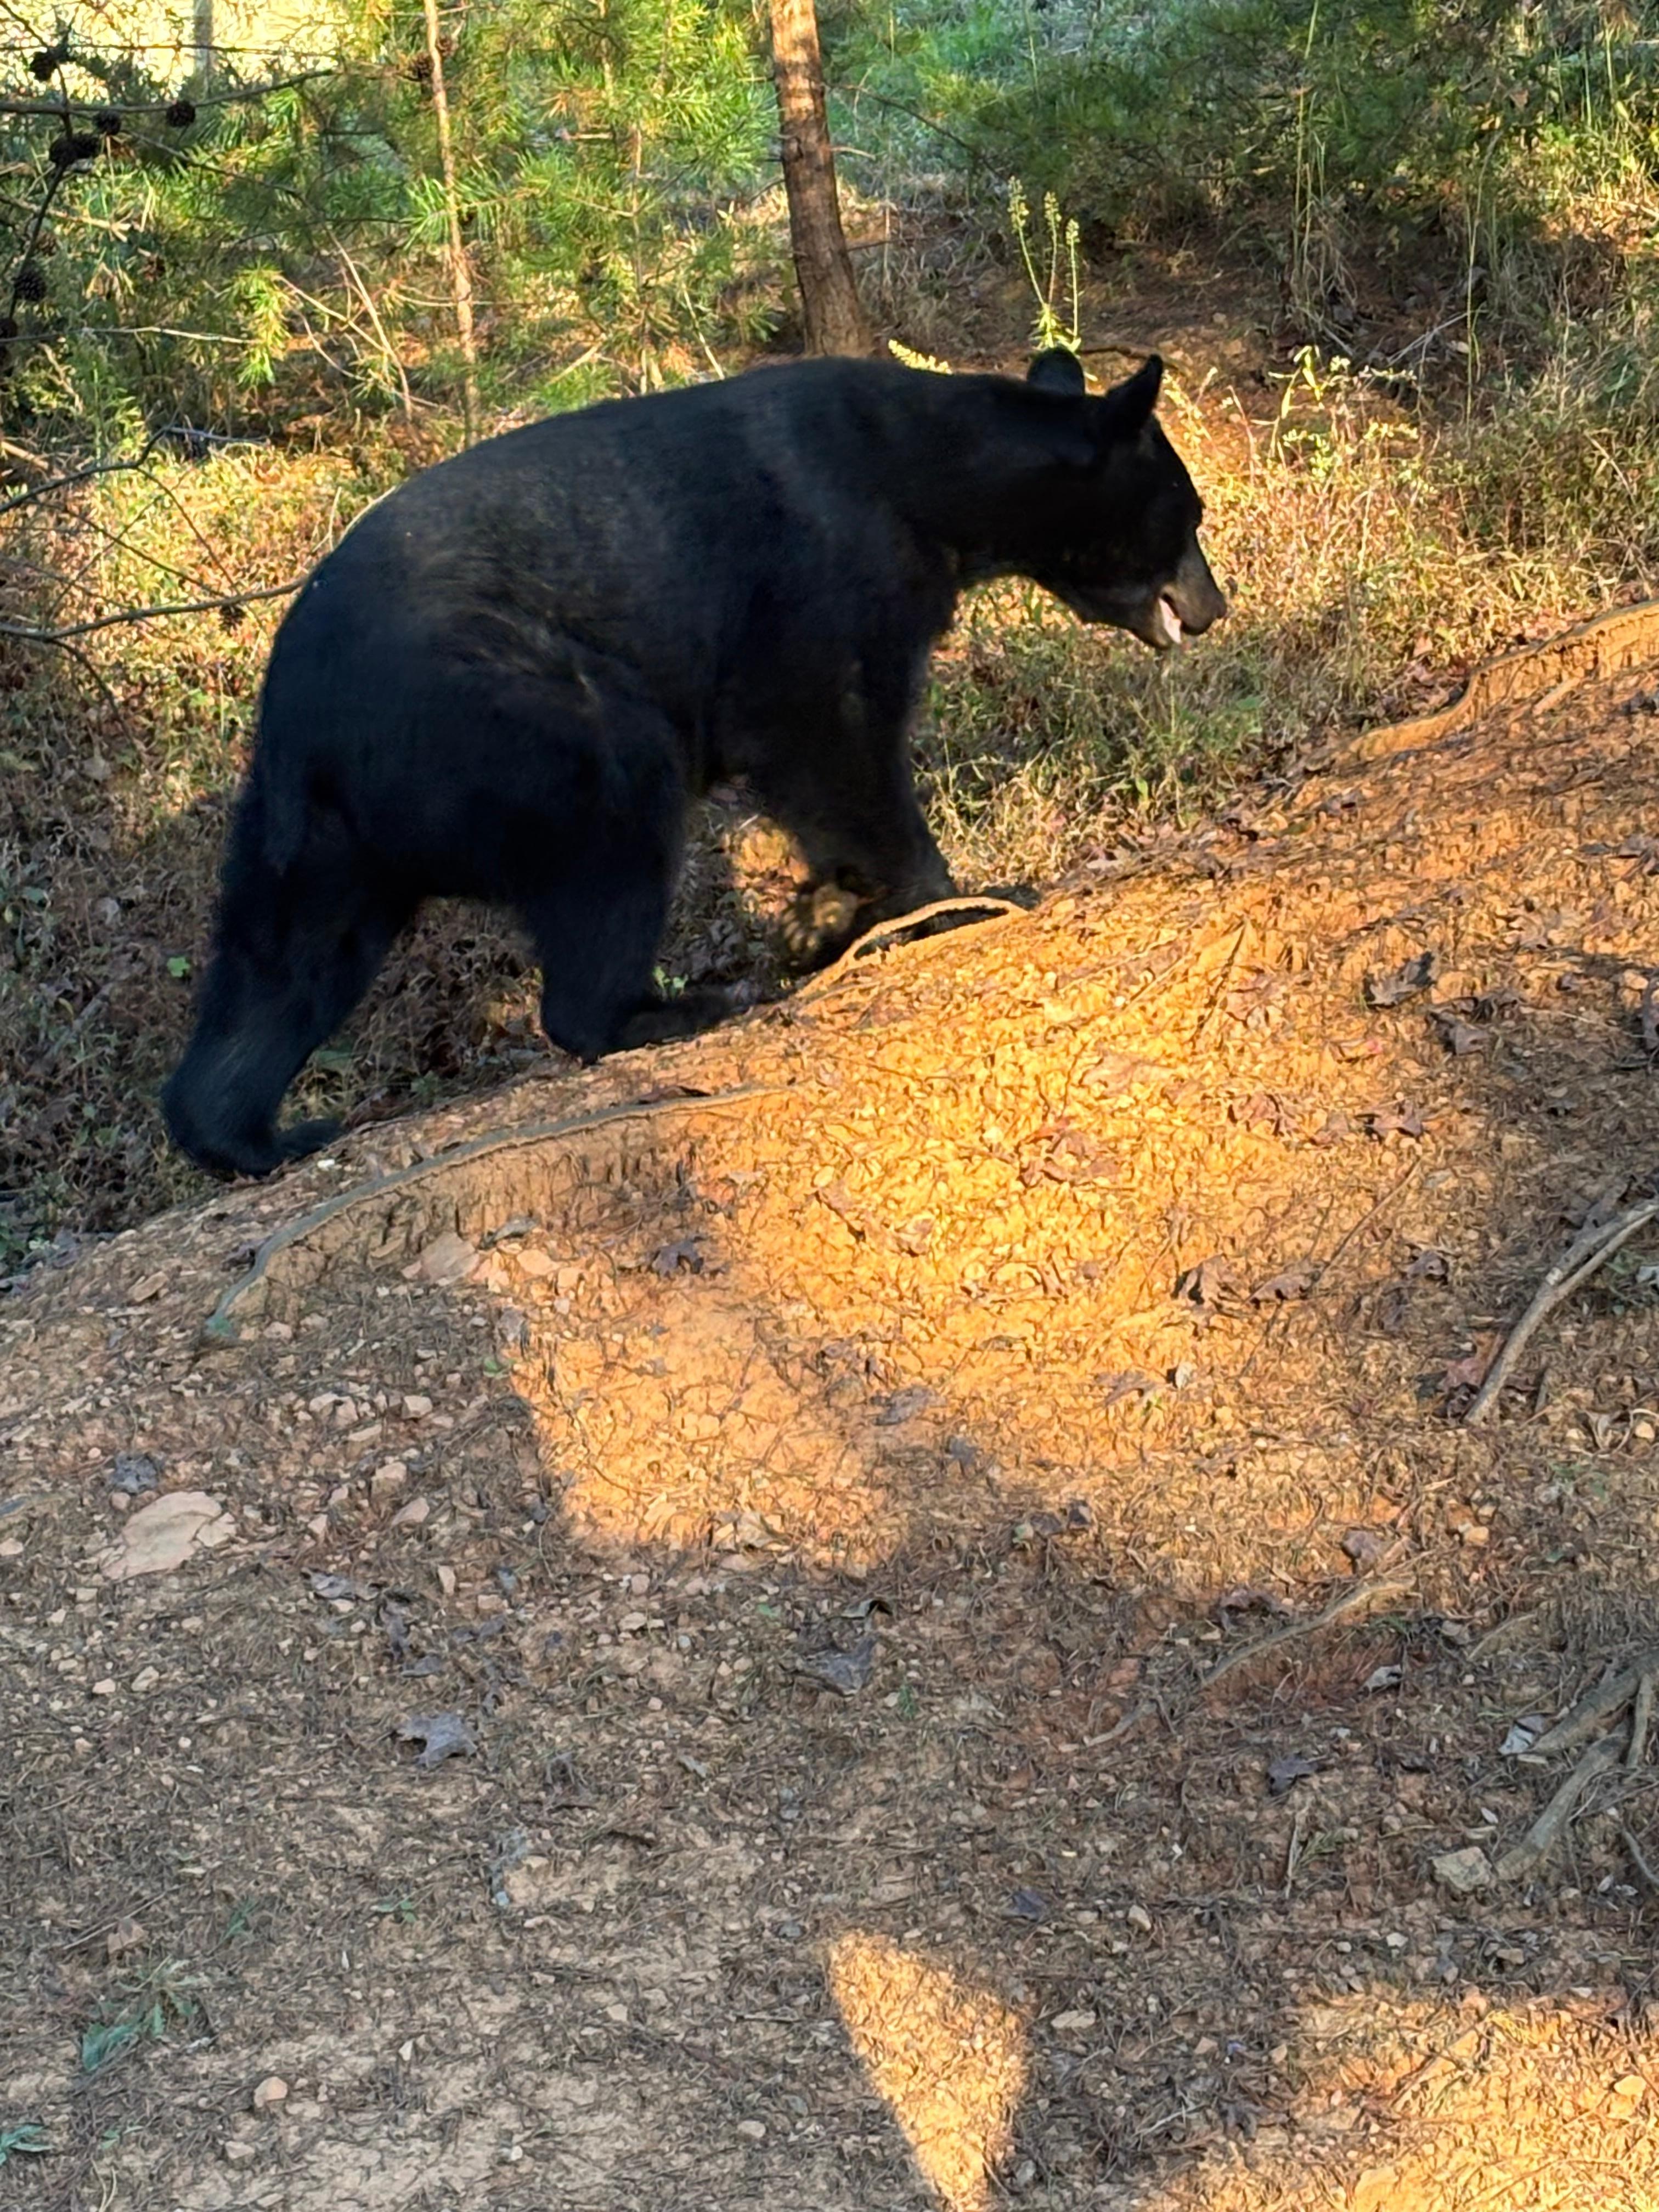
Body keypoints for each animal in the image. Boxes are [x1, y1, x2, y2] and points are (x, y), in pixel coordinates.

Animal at [163, 347, 1225, 1180]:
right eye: (1192, 512)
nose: (1213, 607)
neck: (935, 481)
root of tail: (306, 719)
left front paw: (827, 914)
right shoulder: (827, 574)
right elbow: (836, 740)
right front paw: (957, 899)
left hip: (315, 836)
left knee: (285, 964)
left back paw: (257, 1133)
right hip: (523, 720)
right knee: (613, 839)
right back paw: (671, 1012)